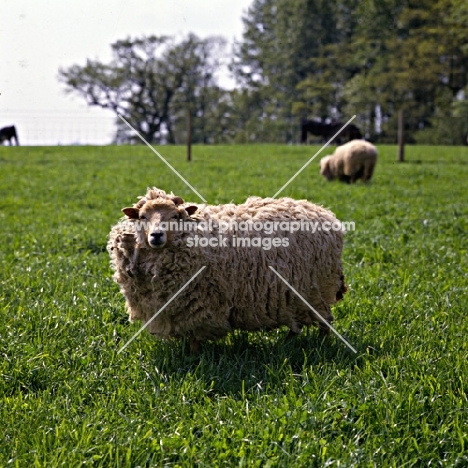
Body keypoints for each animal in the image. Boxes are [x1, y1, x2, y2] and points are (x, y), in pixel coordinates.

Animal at [107, 188, 348, 350]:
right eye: (142, 217)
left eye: (175, 216)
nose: (156, 236)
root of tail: (326, 214)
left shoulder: (198, 305)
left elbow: (195, 337)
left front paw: (194, 357)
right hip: (294, 294)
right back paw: (288, 341)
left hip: (317, 287)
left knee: (325, 319)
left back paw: (321, 343)